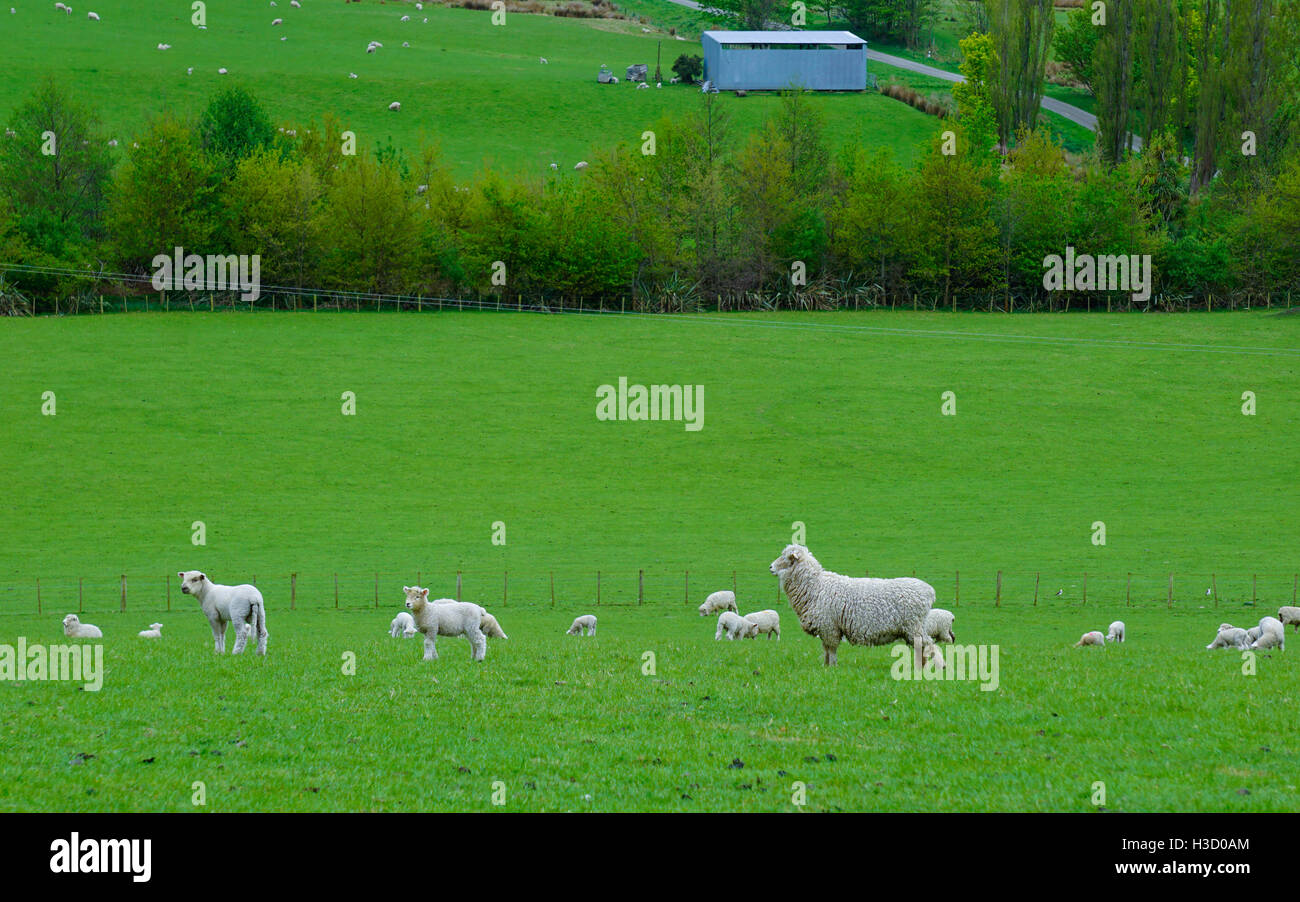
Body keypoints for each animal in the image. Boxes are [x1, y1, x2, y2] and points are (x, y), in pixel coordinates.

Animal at [764, 543, 941, 670]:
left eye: (786, 557)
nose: (770, 567)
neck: (816, 586)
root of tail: (929, 591)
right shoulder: (826, 627)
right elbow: (826, 649)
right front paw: (825, 666)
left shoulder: (829, 627)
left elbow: (831, 649)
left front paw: (832, 667)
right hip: (914, 627)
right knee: (922, 648)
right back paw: (920, 668)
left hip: (913, 626)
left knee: (928, 646)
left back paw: (935, 668)